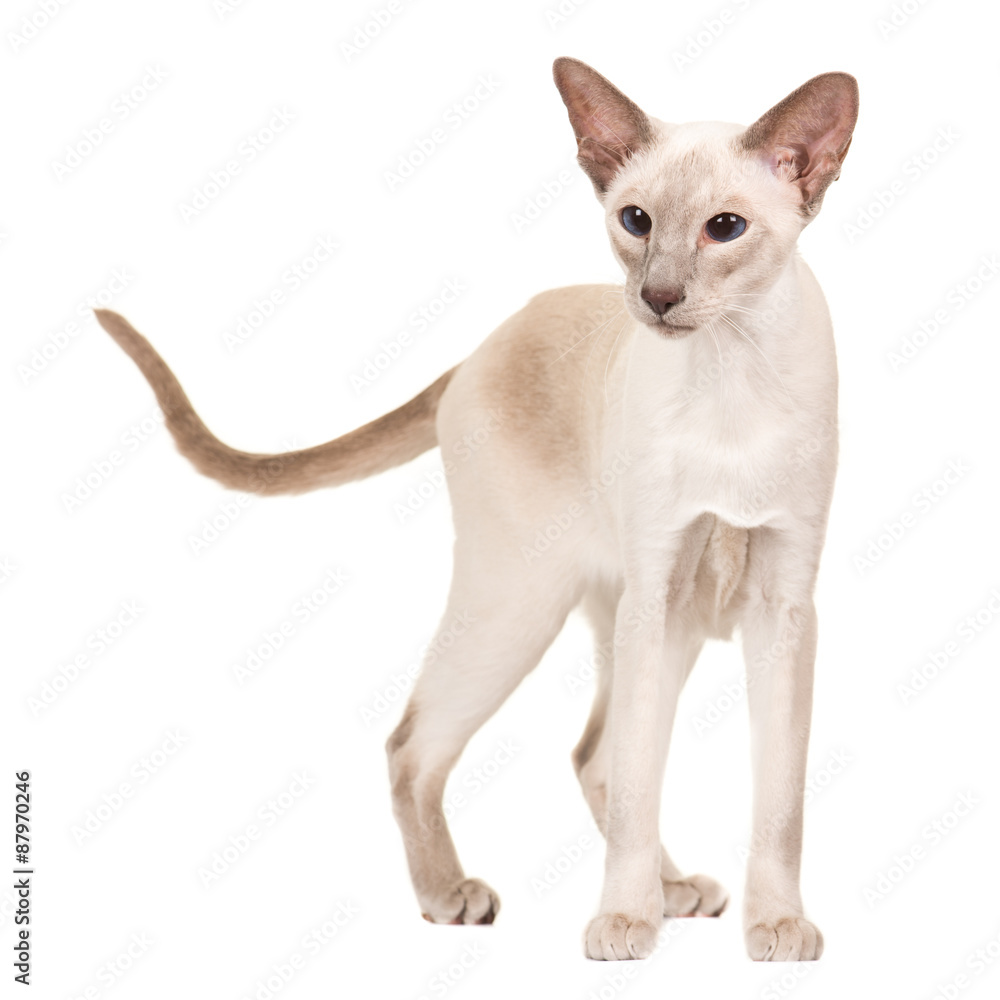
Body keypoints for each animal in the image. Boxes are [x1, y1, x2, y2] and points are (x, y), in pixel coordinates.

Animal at [95, 58, 860, 964]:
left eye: (726, 229)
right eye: (635, 221)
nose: (659, 296)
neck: (729, 372)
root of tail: (477, 349)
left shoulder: (783, 606)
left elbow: (778, 803)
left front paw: (774, 927)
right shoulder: (660, 589)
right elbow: (643, 788)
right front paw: (622, 925)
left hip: (637, 627)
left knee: (594, 758)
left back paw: (670, 893)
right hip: (537, 605)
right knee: (420, 745)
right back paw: (456, 897)